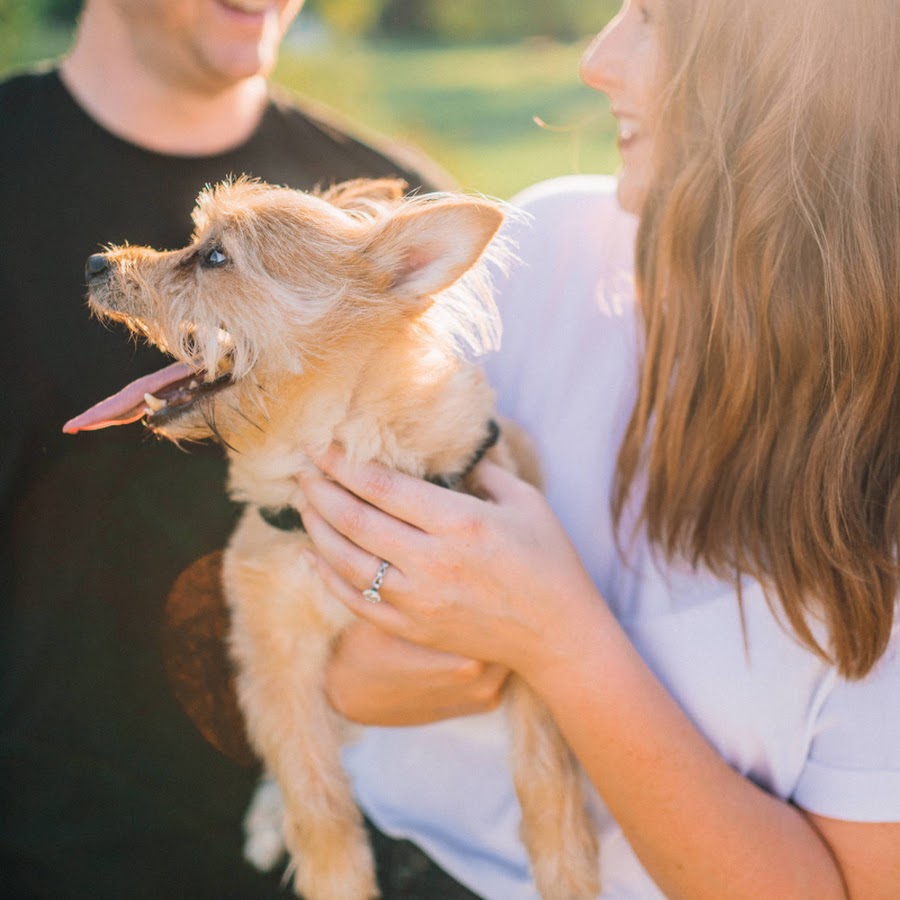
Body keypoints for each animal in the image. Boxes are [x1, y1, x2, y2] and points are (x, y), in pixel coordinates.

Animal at [64, 177, 600, 900]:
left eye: (214, 257)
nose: (96, 263)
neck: (320, 459)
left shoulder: (522, 635)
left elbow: (548, 773)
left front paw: (570, 874)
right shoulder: (277, 662)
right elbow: (317, 805)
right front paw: (335, 877)